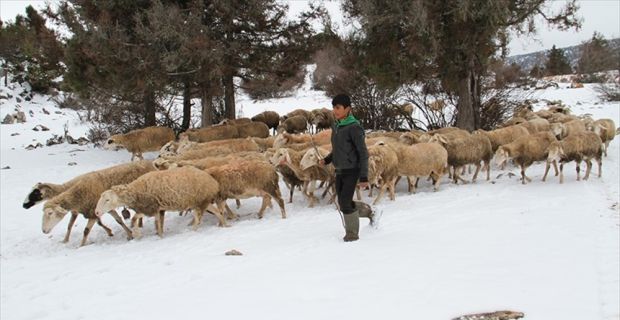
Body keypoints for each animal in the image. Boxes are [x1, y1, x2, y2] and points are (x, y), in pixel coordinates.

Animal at [95, 165, 225, 238]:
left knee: (199, 218)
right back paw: (224, 224)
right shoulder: (158, 209)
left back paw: (193, 231)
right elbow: (159, 224)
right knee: (217, 211)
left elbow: (135, 218)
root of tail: (213, 182)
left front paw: (137, 235)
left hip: (199, 201)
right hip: (202, 201)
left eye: (107, 200)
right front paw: (160, 235)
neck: (136, 191)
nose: (96, 212)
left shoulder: (150, 207)